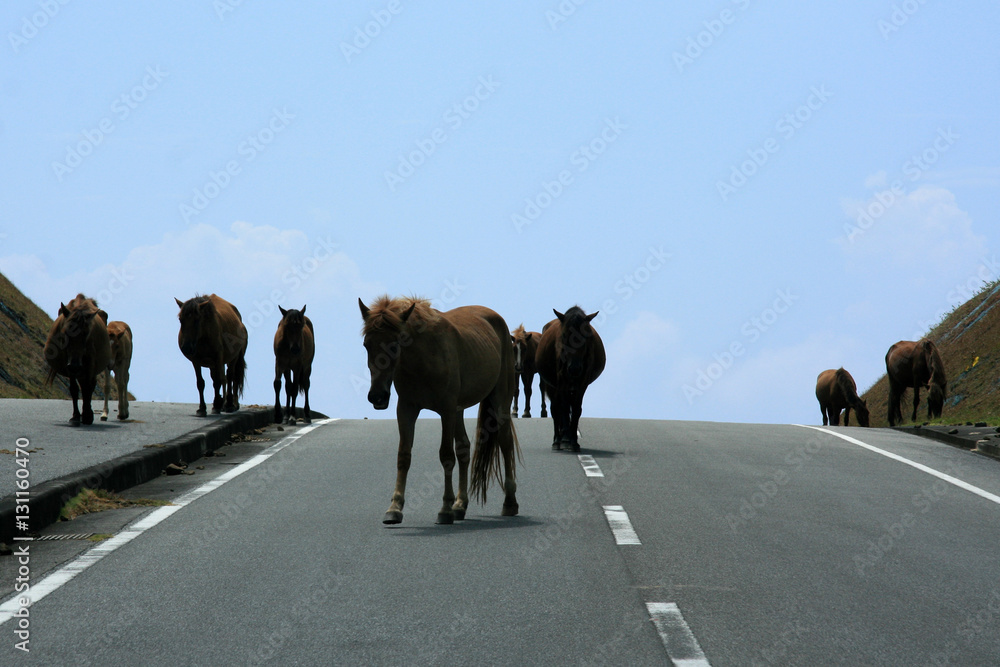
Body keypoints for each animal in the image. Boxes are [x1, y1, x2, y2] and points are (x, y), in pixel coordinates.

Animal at [43, 294, 112, 426]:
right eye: (65, 332)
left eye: (86, 333)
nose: (75, 365)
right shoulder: (69, 365)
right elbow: (74, 389)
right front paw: (76, 416)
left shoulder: (89, 363)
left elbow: (87, 388)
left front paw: (87, 415)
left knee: (89, 385)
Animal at [359, 295, 521, 525]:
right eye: (366, 344)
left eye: (395, 344)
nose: (377, 396)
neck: (424, 357)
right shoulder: (407, 409)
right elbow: (404, 456)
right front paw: (395, 508)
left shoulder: (446, 410)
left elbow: (446, 455)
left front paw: (444, 509)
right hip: (459, 410)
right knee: (464, 448)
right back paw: (460, 505)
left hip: (500, 401)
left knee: (505, 442)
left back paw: (509, 502)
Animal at [535, 306, 606, 452]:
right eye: (564, 336)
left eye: (586, 336)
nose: (574, 369)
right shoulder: (561, 381)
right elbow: (563, 408)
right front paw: (566, 439)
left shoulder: (582, 383)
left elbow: (577, 409)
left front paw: (573, 440)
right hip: (553, 385)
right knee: (556, 409)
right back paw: (557, 440)